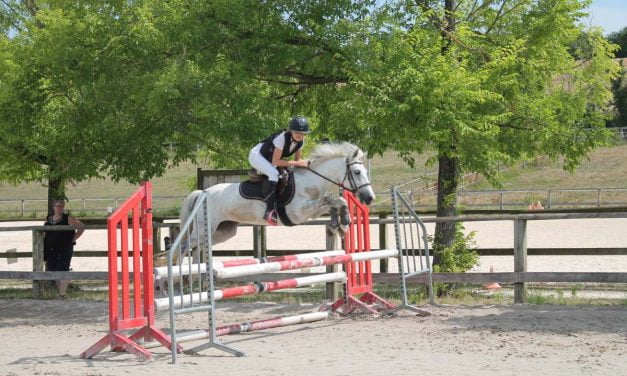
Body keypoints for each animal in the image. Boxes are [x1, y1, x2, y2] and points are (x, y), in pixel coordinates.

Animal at [179, 142, 376, 247]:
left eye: (366, 171)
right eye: (357, 172)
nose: (369, 198)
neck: (311, 181)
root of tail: (203, 192)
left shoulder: (313, 212)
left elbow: (335, 201)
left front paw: (341, 225)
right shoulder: (299, 213)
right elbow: (335, 199)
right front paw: (342, 224)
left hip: (221, 232)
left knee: (198, 250)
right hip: (203, 229)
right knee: (184, 247)